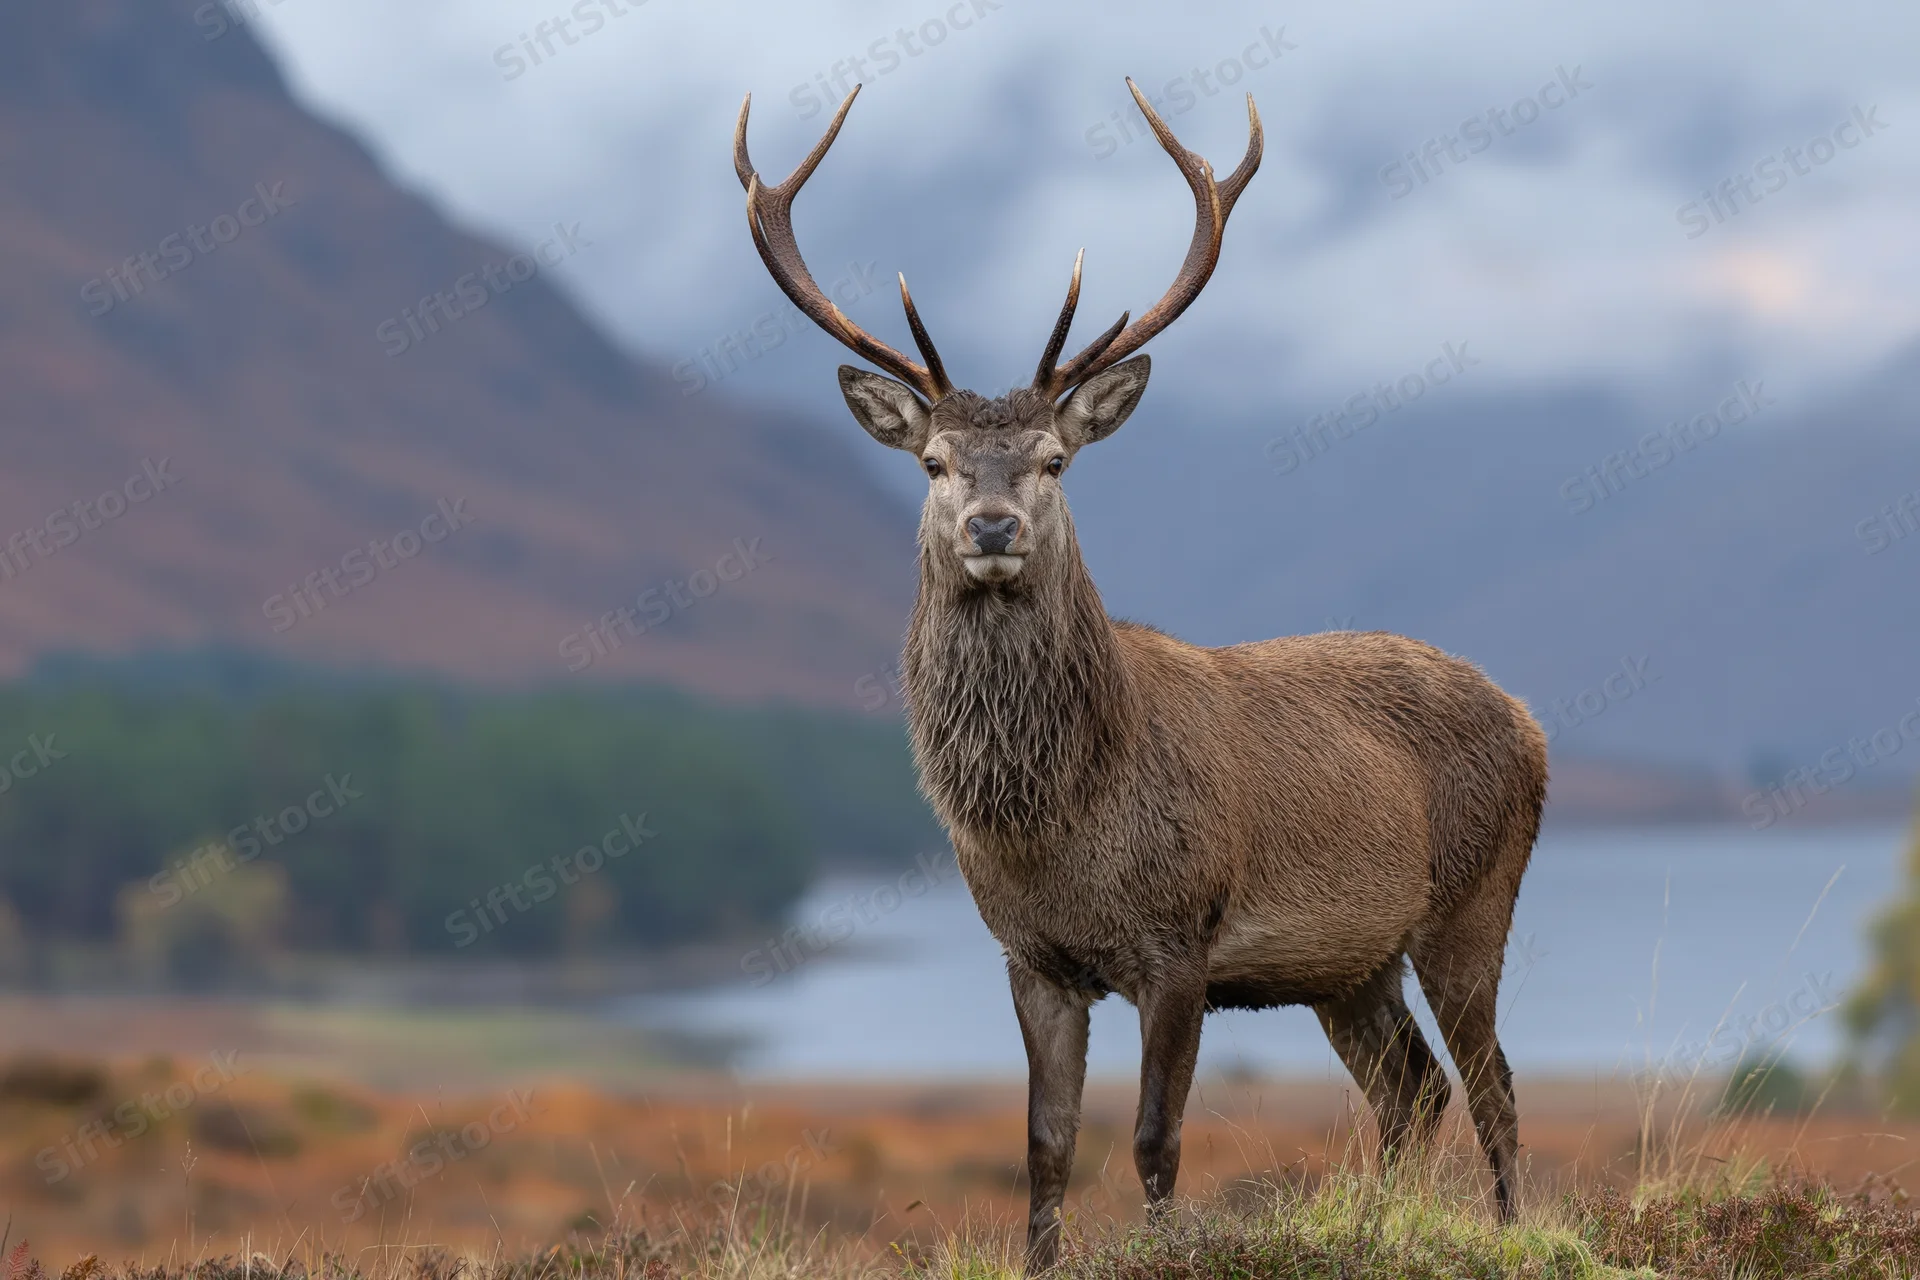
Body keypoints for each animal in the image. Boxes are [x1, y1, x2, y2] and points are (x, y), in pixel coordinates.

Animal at [735, 79, 1547, 1271]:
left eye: (1054, 462)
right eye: (932, 463)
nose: (992, 526)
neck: (1058, 824)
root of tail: (1533, 724)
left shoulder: (1181, 942)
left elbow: (1157, 1139)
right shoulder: (1030, 955)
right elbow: (1046, 1144)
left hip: (1471, 903)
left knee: (1492, 1085)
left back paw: (1509, 1228)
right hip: (1350, 962)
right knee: (1413, 1087)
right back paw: (1376, 1220)